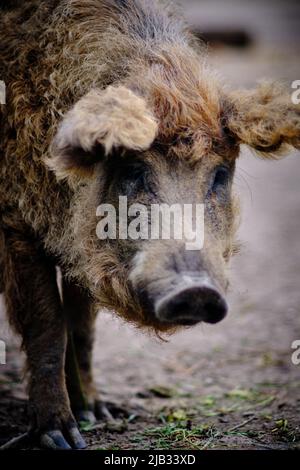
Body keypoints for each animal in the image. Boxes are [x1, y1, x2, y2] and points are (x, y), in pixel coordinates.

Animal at [0, 0, 300, 450]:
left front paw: (97, 416)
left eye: (220, 174)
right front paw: (64, 440)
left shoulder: (78, 247)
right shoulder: (14, 220)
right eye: (134, 169)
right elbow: (48, 327)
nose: (196, 291)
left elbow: (82, 327)